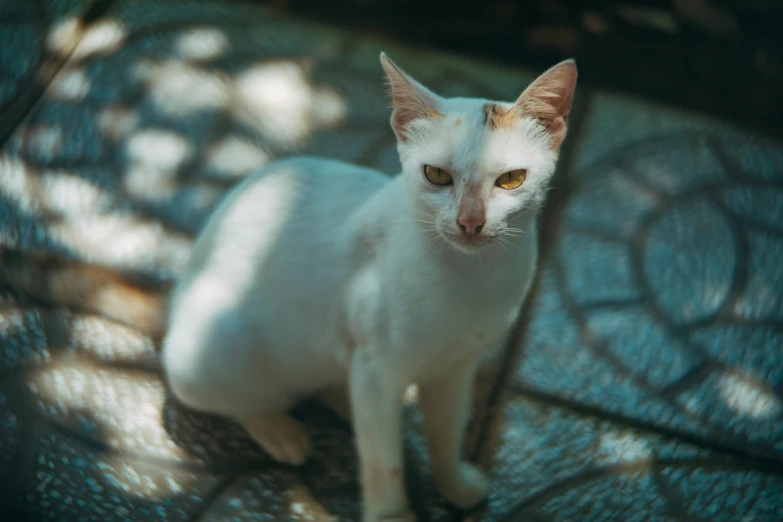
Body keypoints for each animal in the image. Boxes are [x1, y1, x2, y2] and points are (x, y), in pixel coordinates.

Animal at [162, 53, 576, 520]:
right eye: (436, 175)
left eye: (510, 179)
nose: (470, 222)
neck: (469, 277)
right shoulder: (378, 364)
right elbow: (382, 460)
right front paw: (391, 513)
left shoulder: (455, 368)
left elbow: (445, 433)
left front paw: (452, 484)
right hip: (207, 353)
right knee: (241, 400)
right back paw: (280, 430)